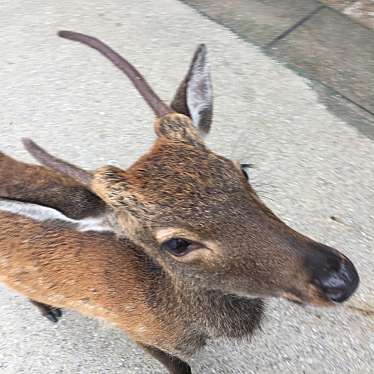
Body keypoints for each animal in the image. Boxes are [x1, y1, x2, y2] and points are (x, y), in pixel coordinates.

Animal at [0, 30, 360, 372]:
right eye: (177, 244)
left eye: (241, 170)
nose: (339, 278)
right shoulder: (134, 329)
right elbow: (180, 366)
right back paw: (49, 310)